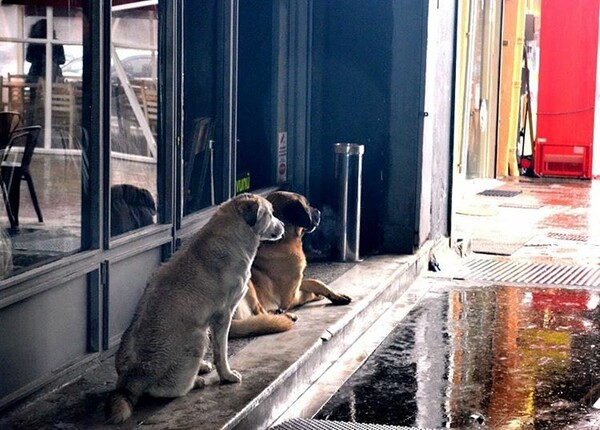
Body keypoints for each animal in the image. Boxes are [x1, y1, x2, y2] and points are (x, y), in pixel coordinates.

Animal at [230, 190, 352, 338]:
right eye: (307, 205)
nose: (318, 211)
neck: (281, 242)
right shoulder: (289, 297)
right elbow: (307, 293)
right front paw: (317, 295)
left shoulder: (297, 283)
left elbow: (314, 281)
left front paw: (336, 295)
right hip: (248, 285)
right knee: (260, 312)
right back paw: (285, 316)